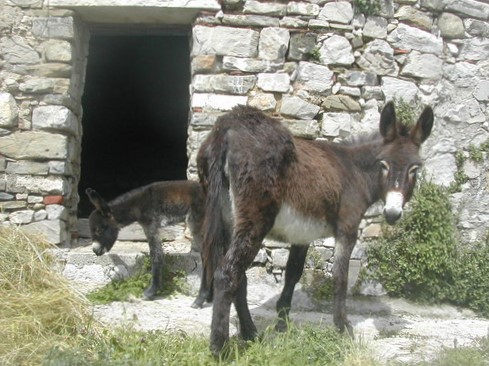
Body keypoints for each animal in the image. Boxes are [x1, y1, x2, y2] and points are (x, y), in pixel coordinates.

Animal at [196, 101, 432, 354]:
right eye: (384, 165)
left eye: (415, 169)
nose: (392, 214)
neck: (355, 171)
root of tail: (227, 127)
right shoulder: (347, 229)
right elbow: (340, 277)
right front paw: (343, 327)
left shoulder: (302, 236)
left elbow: (293, 274)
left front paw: (282, 323)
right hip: (255, 220)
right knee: (227, 273)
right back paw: (220, 348)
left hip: (227, 220)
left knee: (239, 277)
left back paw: (250, 334)